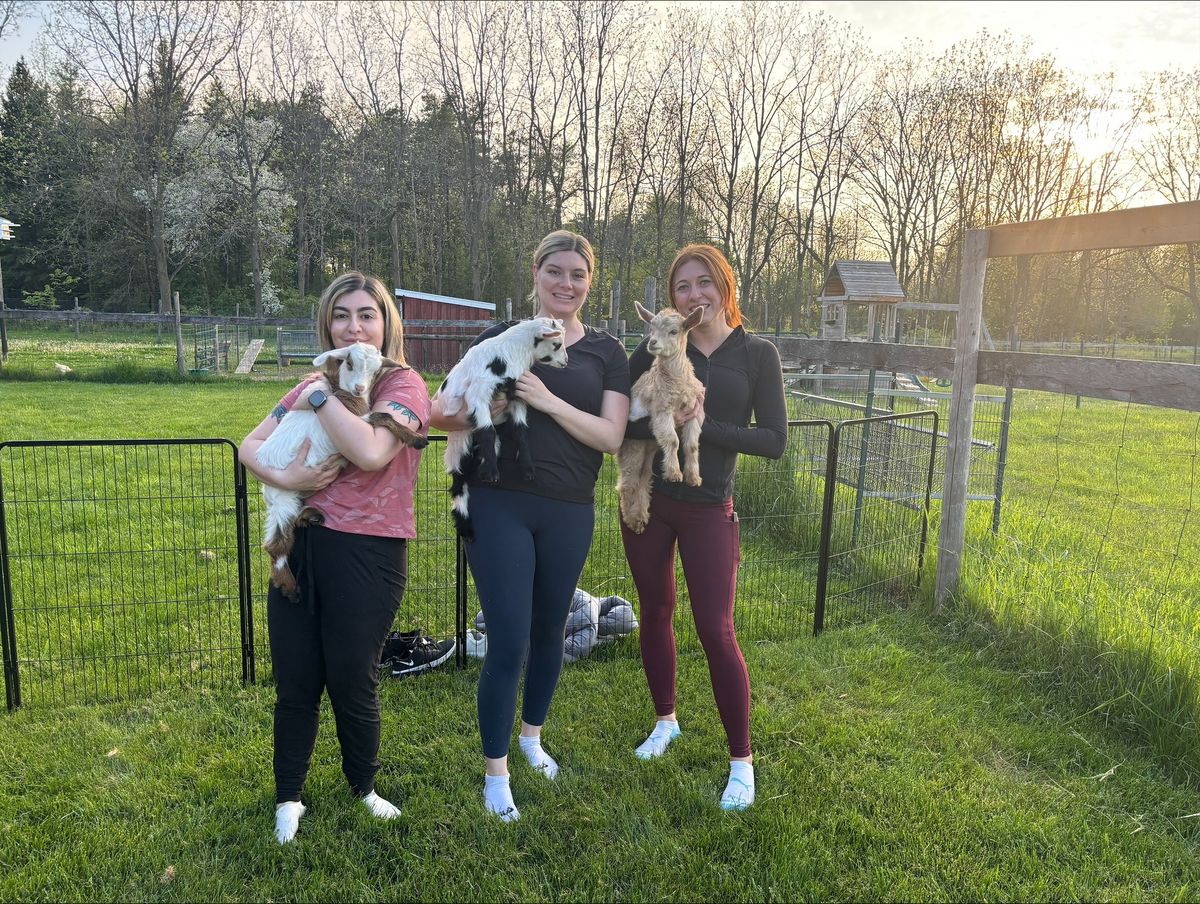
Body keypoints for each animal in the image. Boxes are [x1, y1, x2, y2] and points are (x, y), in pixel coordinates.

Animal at [258, 343, 432, 600]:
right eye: (349, 363)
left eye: (376, 370)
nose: (359, 388)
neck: (347, 397)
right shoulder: (357, 423)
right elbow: (383, 414)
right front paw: (416, 439)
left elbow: (383, 414)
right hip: (284, 498)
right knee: (275, 546)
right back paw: (289, 587)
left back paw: (311, 517)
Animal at [444, 316, 568, 535]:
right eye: (557, 344)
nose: (566, 361)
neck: (509, 353)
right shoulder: (479, 392)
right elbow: (487, 431)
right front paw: (492, 474)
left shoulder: (517, 395)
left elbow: (521, 432)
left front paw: (528, 470)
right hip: (458, 449)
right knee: (459, 485)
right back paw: (467, 527)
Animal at [619, 300, 700, 533]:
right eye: (651, 329)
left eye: (674, 331)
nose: (652, 343)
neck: (677, 380)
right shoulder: (661, 410)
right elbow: (672, 440)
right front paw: (674, 474)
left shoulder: (694, 411)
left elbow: (691, 445)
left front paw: (693, 478)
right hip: (632, 444)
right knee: (628, 481)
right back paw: (633, 520)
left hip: (648, 447)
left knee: (644, 478)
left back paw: (641, 516)